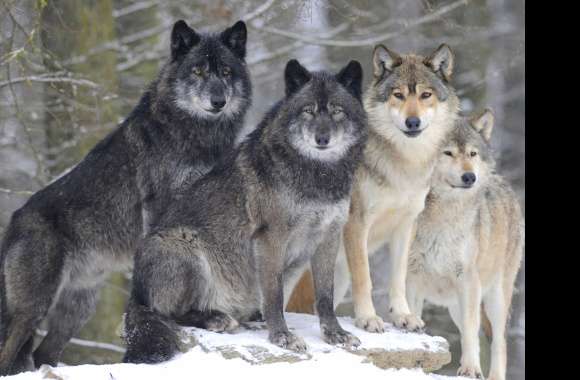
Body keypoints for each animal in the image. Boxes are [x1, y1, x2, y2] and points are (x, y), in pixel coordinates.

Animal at [1, 18, 253, 374]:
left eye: (227, 72)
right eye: (198, 71)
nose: (218, 100)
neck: (197, 135)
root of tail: (12, 221)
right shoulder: (161, 211)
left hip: (77, 311)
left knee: (42, 355)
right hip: (32, 309)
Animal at [122, 59, 368, 366]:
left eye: (337, 110)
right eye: (308, 110)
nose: (321, 139)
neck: (318, 176)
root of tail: (135, 293)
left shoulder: (329, 237)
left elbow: (325, 295)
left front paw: (335, 334)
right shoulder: (270, 238)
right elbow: (274, 295)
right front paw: (282, 337)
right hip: (183, 244)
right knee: (168, 314)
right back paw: (217, 319)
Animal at [406, 108, 524, 378]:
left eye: (472, 153)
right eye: (448, 152)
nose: (470, 177)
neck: (442, 219)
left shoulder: (468, 281)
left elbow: (471, 333)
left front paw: (470, 368)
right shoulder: (412, 277)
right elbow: (413, 315)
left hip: (494, 299)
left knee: (498, 342)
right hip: (456, 306)